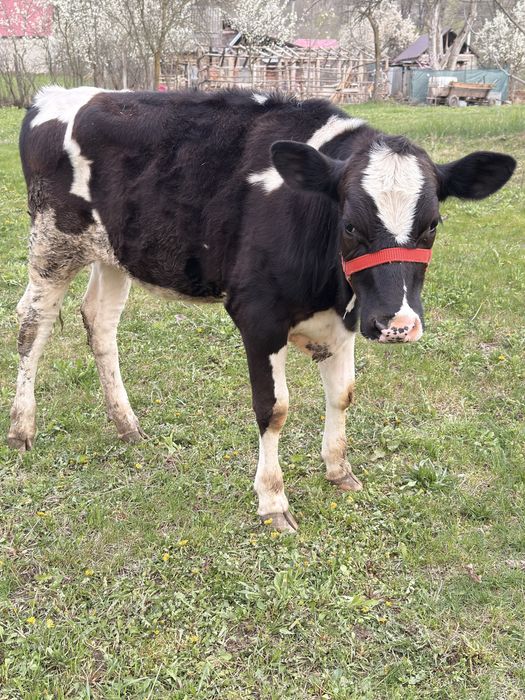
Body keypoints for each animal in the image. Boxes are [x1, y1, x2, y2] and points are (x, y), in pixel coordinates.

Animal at [8, 86, 516, 532]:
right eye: (350, 225)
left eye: (432, 225)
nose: (398, 324)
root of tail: (51, 95)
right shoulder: (258, 316)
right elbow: (274, 409)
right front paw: (273, 501)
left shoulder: (345, 319)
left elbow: (343, 394)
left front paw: (339, 469)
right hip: (52, 243)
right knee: (32, 325)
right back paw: (21, 428)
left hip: (115, 252)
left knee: (100, 322)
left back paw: (126, 424)